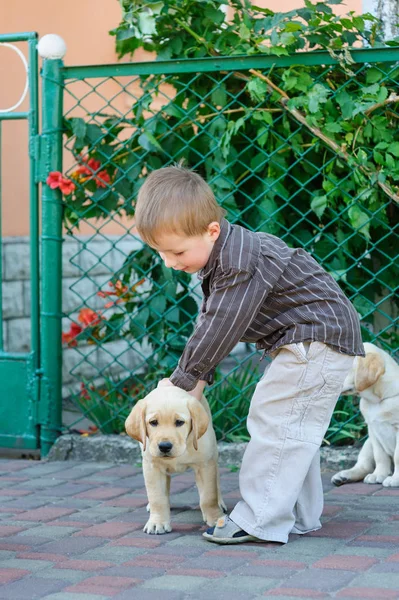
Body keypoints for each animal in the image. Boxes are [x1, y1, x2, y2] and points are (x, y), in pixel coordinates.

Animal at [126, 386, 225, 536]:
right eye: (153, 422)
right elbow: (157, 498)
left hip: (213, 453)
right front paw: (157, 523)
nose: (164, 446)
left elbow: (208, 496)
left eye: (179, 422)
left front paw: (216, 518)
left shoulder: (205, 465)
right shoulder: (152, 467)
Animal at [332, 342, 399, 488]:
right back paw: (344, 476)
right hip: (367, 444)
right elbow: (380, 456)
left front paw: (396, 479)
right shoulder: (373, 431)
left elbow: (398, 456)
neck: (378, 400)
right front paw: (378, 474)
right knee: (364, 466)